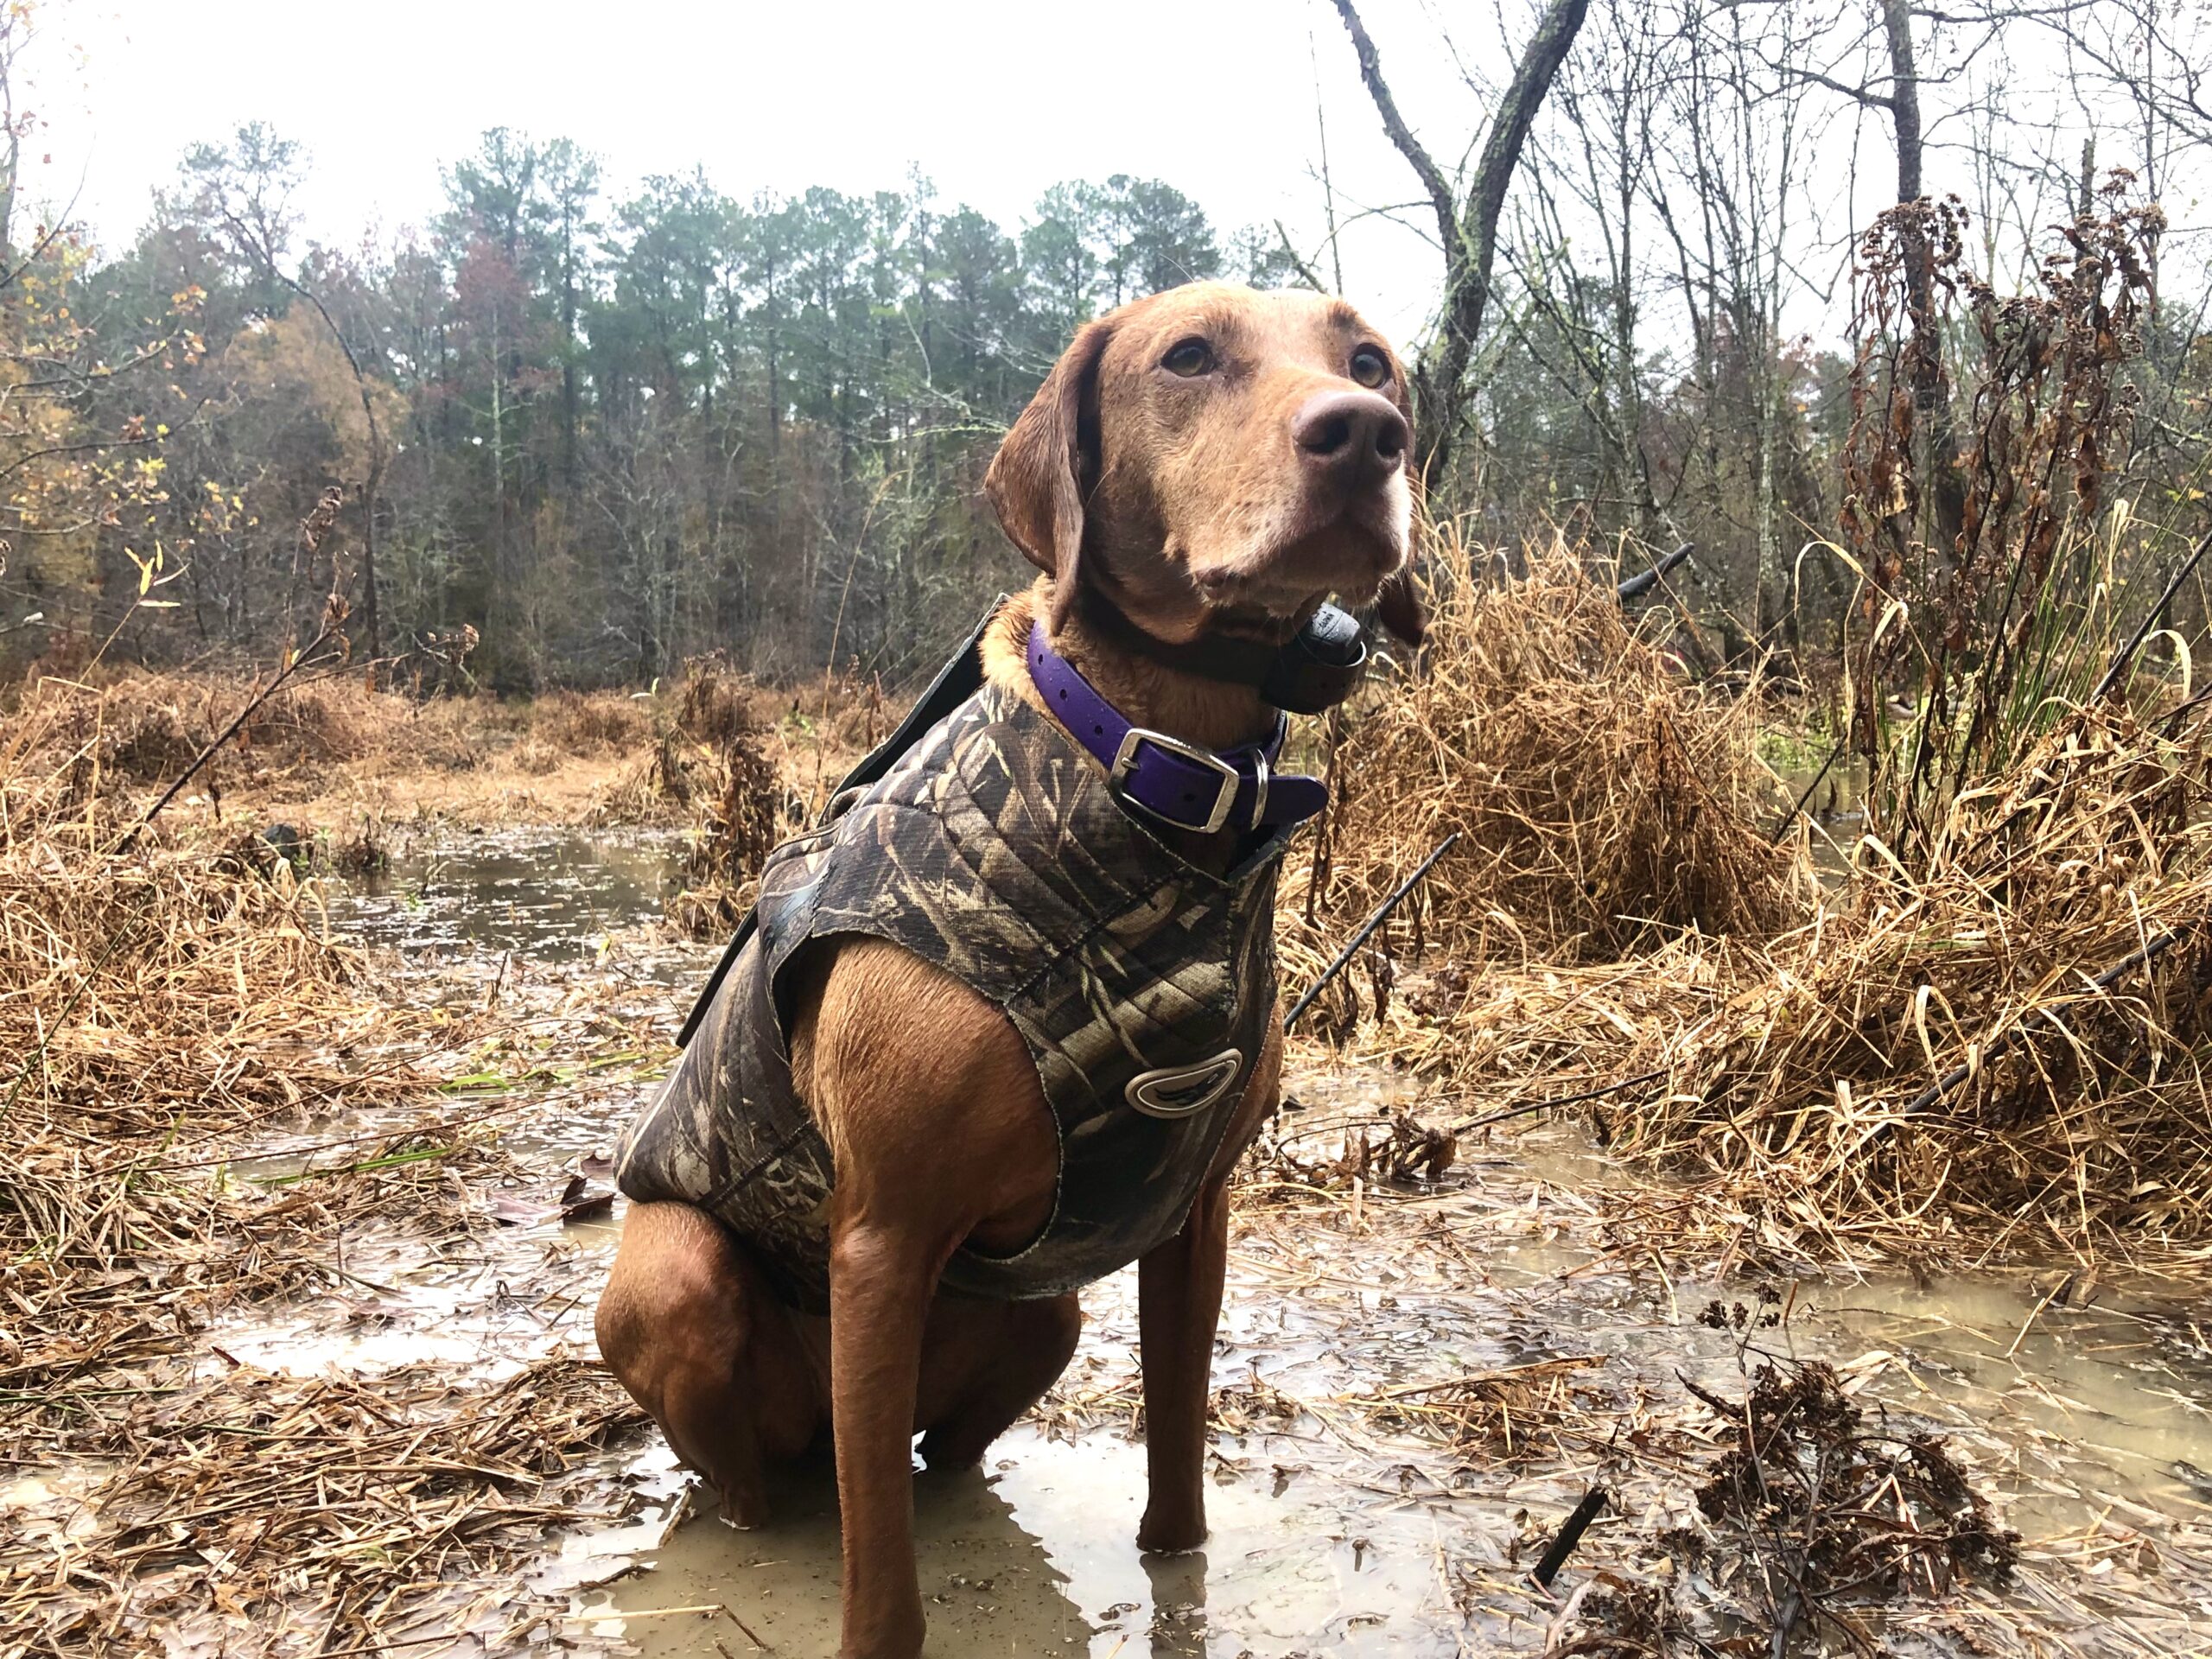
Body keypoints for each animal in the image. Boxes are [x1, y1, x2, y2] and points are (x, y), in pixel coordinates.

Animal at [597, 285, 1407, 1659]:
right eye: (1188, 355)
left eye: (1369, 358)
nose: (1368, 433)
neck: (1161, 784)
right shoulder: (879, 1241)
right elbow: (883, 1606)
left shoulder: (1193, 1217)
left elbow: (1177, 1488)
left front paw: (1174, 1583)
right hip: (681, 1280)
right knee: (767, 1483)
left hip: (1044, 1311)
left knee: (941, 1460)